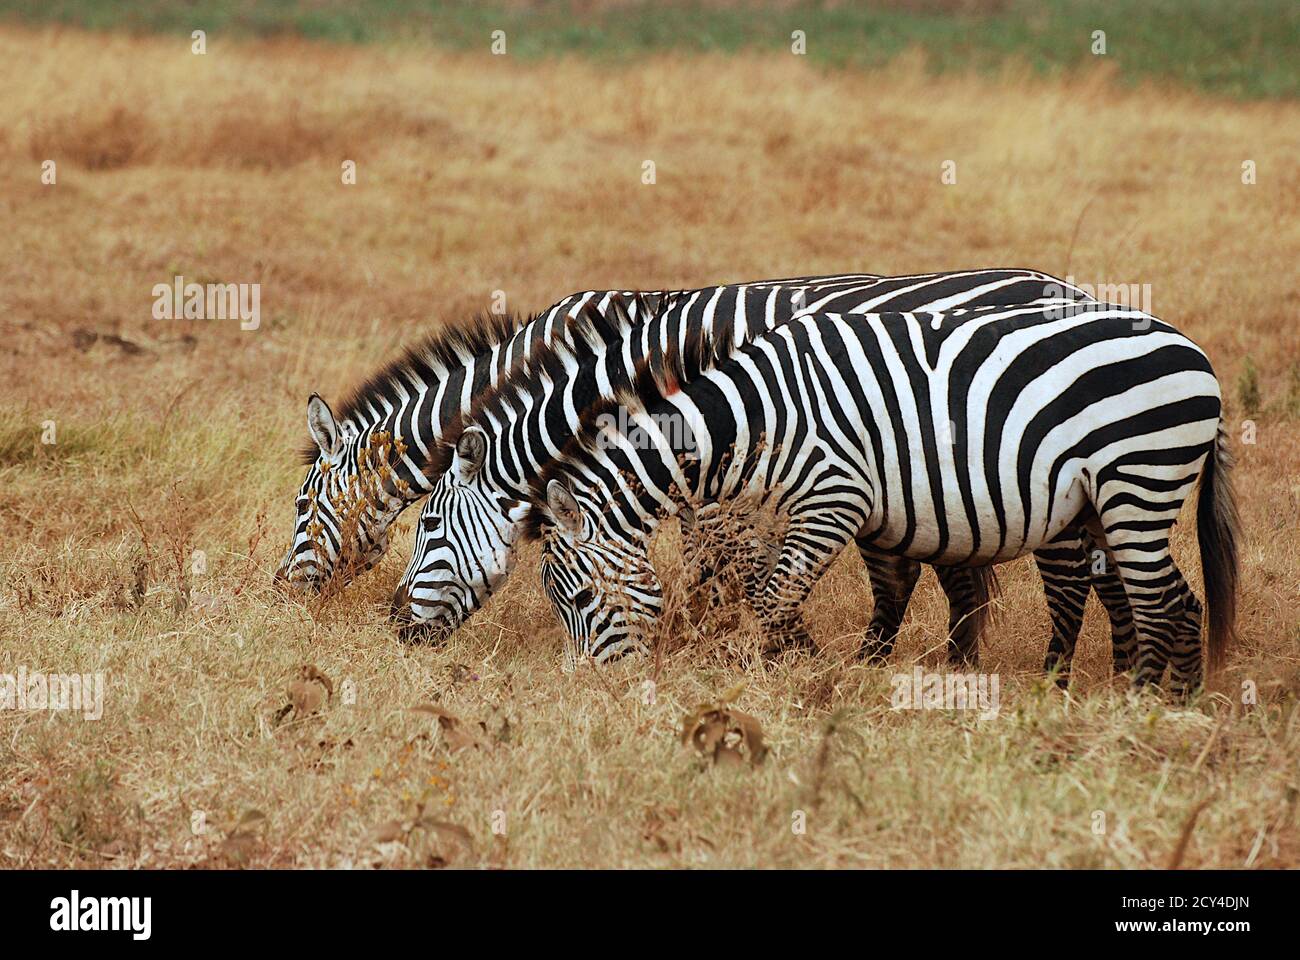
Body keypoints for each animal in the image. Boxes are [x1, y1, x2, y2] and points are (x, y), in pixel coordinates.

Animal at [525, 303, 1237, 692]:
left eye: (579, 601)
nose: (595, 688)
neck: (755, 419)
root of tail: (1196, 352)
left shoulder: (835, 496)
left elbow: (772, 595)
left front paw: (784, 677)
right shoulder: (772, 512)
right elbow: (769, 588)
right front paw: (814, 667)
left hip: (1137, 480)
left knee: (1167, 600)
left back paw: (1151, 708)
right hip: (1102, 501)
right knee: (1152, 597)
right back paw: (1154, 698)